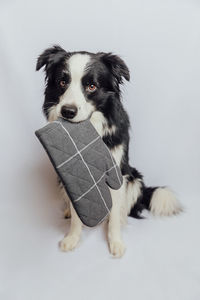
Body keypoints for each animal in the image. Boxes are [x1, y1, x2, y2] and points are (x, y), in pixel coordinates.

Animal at [35, 45, 181, 258]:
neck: (91, 131)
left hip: (134, 177)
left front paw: (116, 242)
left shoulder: (116, 172)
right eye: (62, 82)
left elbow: (113, 215)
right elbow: (78, 212)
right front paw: (73, 237)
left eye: (91, 86)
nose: (67, 112)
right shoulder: (76, 178)